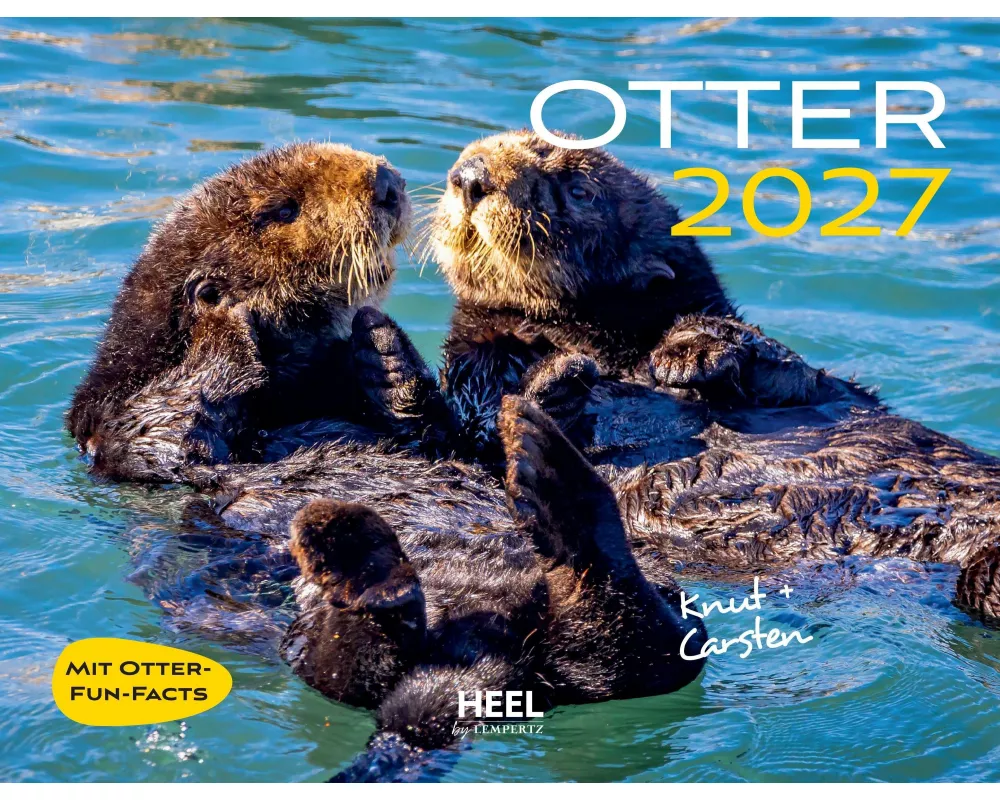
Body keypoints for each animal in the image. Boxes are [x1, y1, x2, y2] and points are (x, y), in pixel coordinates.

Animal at [67, 142, 419, 483]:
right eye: (284, 210)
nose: (386, 182)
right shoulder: (111, 432)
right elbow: (165, 439)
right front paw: (219, 320)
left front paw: (385, 351)